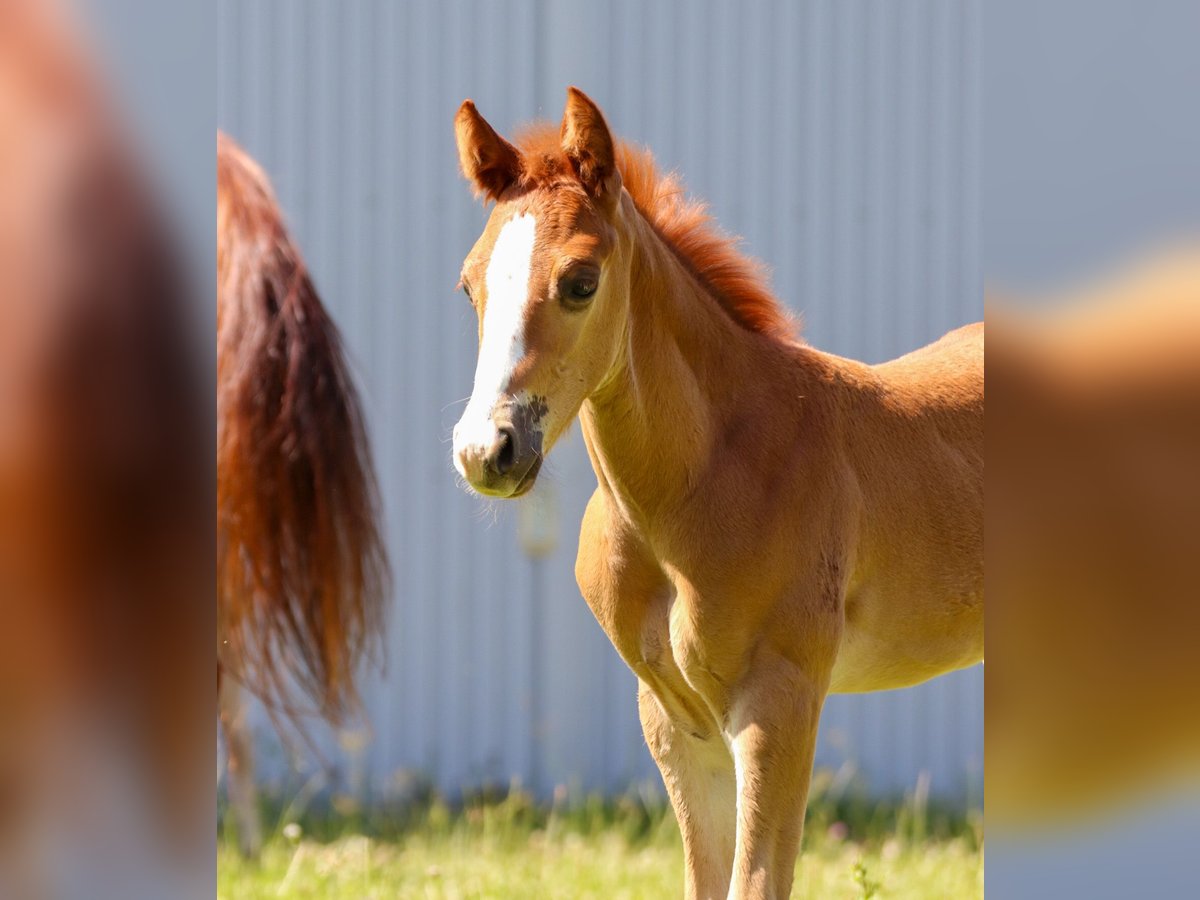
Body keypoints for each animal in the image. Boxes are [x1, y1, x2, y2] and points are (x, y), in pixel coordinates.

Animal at [451, 88, 984, 897]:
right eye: (469, 284)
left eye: (581, 281)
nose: (486, 451)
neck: (699, 483)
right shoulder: (677, 719)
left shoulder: (778, 705)